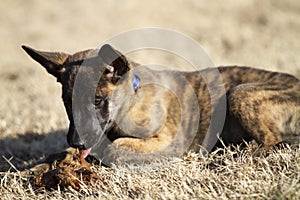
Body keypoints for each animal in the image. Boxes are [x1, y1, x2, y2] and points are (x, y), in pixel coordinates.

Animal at [22, 44, 300, 165]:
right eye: (66, 102)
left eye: (98, 100)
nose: (76, 142)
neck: (132, 100)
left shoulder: (169, 141)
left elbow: (118, 145)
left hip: (239, 93)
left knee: (273, 140)